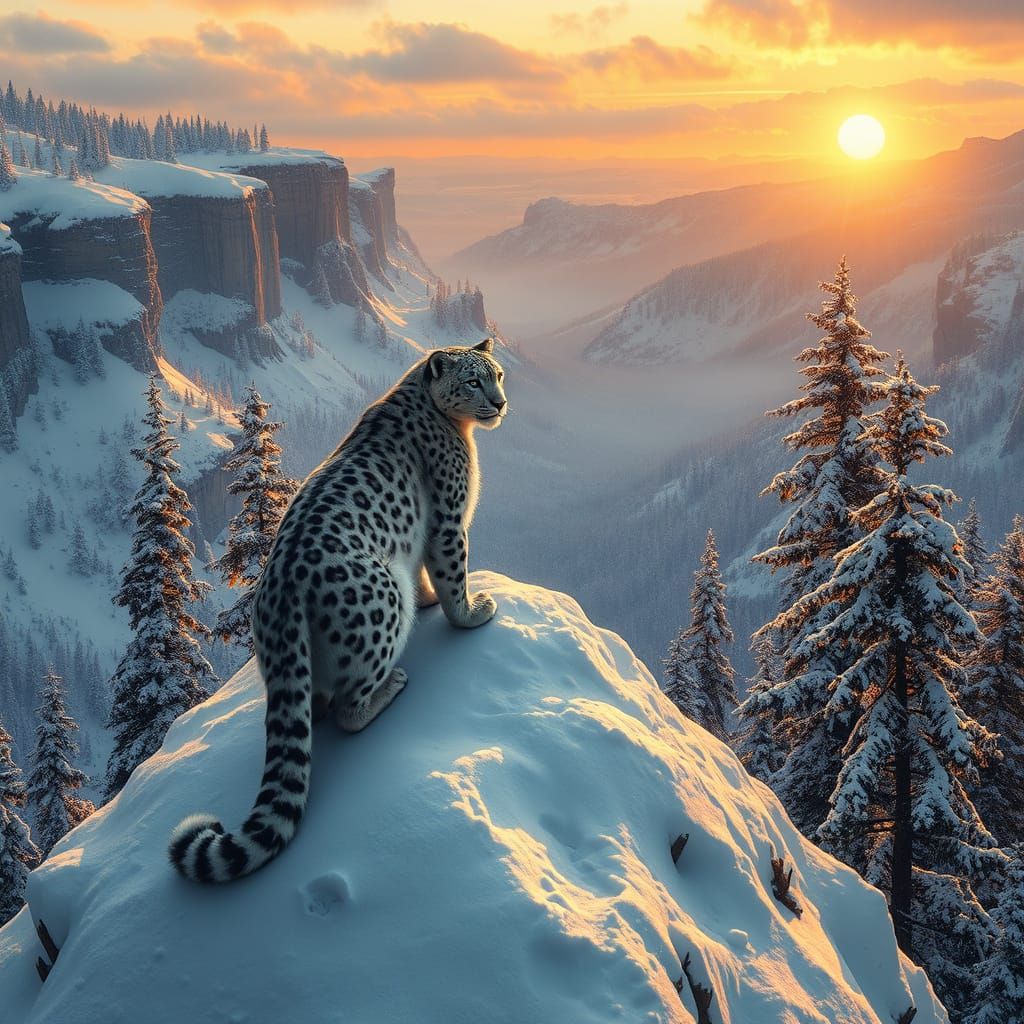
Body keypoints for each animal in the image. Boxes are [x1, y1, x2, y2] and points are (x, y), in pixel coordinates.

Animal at [169, 338, 507, 882]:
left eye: (498, 374)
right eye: (474, 381)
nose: (499, 402)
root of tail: (278, 592)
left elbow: (427, 573)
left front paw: (436, 599)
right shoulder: (449, 521)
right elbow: (452, 574)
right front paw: (472, 611)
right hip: (384, 604)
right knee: (348, 711)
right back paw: (391, 687)